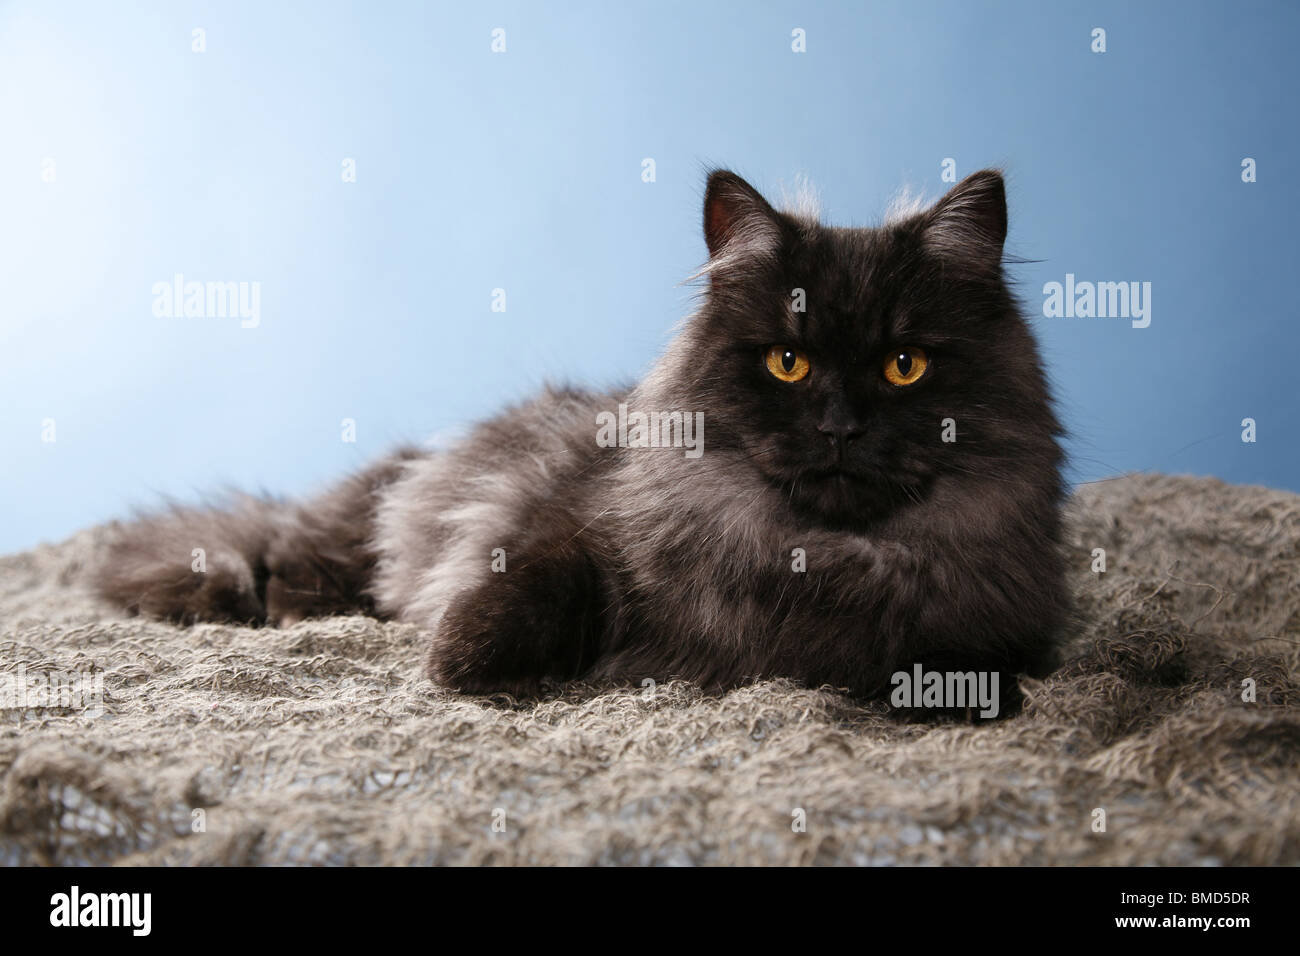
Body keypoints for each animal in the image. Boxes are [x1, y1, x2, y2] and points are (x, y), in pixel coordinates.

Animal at [94, 170, 1066, 712]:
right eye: (787, 362)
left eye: (905, 366)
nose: (838, 426)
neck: (811, 558)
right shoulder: (566, 530)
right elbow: (531, 584)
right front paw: (458, 663)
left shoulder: (1005, 631)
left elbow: (966, 677)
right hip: (365, 524)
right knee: (289, 553)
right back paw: (298, 608)